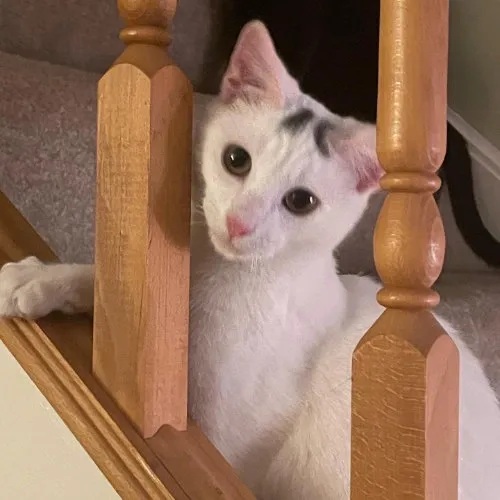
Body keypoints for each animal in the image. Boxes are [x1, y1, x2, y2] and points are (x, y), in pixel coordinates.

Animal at [0, 19, 500, 500]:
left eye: (301, 201)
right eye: (236, 160)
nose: (238, 223)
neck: (224, 278)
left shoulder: (233, 444)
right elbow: (110, 278)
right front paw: (38, 280)